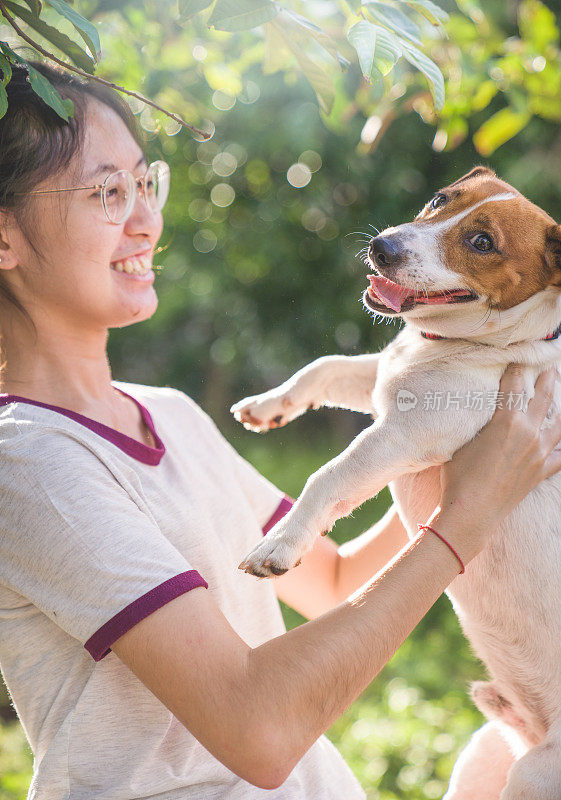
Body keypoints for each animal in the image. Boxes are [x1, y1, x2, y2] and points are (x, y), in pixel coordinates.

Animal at [231, 166, 560, 796]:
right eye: (439, 199)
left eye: (483, 242)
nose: (382, 247)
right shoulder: (384, 387)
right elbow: (327, 366)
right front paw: (269, 405)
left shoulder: (405, 434)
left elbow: (328, 476)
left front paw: (281, 544)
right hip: (484, 758)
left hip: (532, 777)